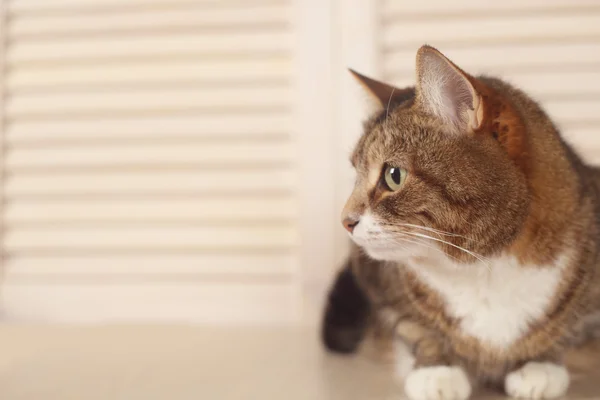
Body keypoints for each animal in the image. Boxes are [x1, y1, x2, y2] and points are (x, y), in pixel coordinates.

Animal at [324, 44, 600, 400]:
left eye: (393, 175)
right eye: (355, 174)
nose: (345, 221)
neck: (483, 268)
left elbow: (571, 330)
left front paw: (540, 365)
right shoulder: (377, 283)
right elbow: (411, 326)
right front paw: (437, 371)